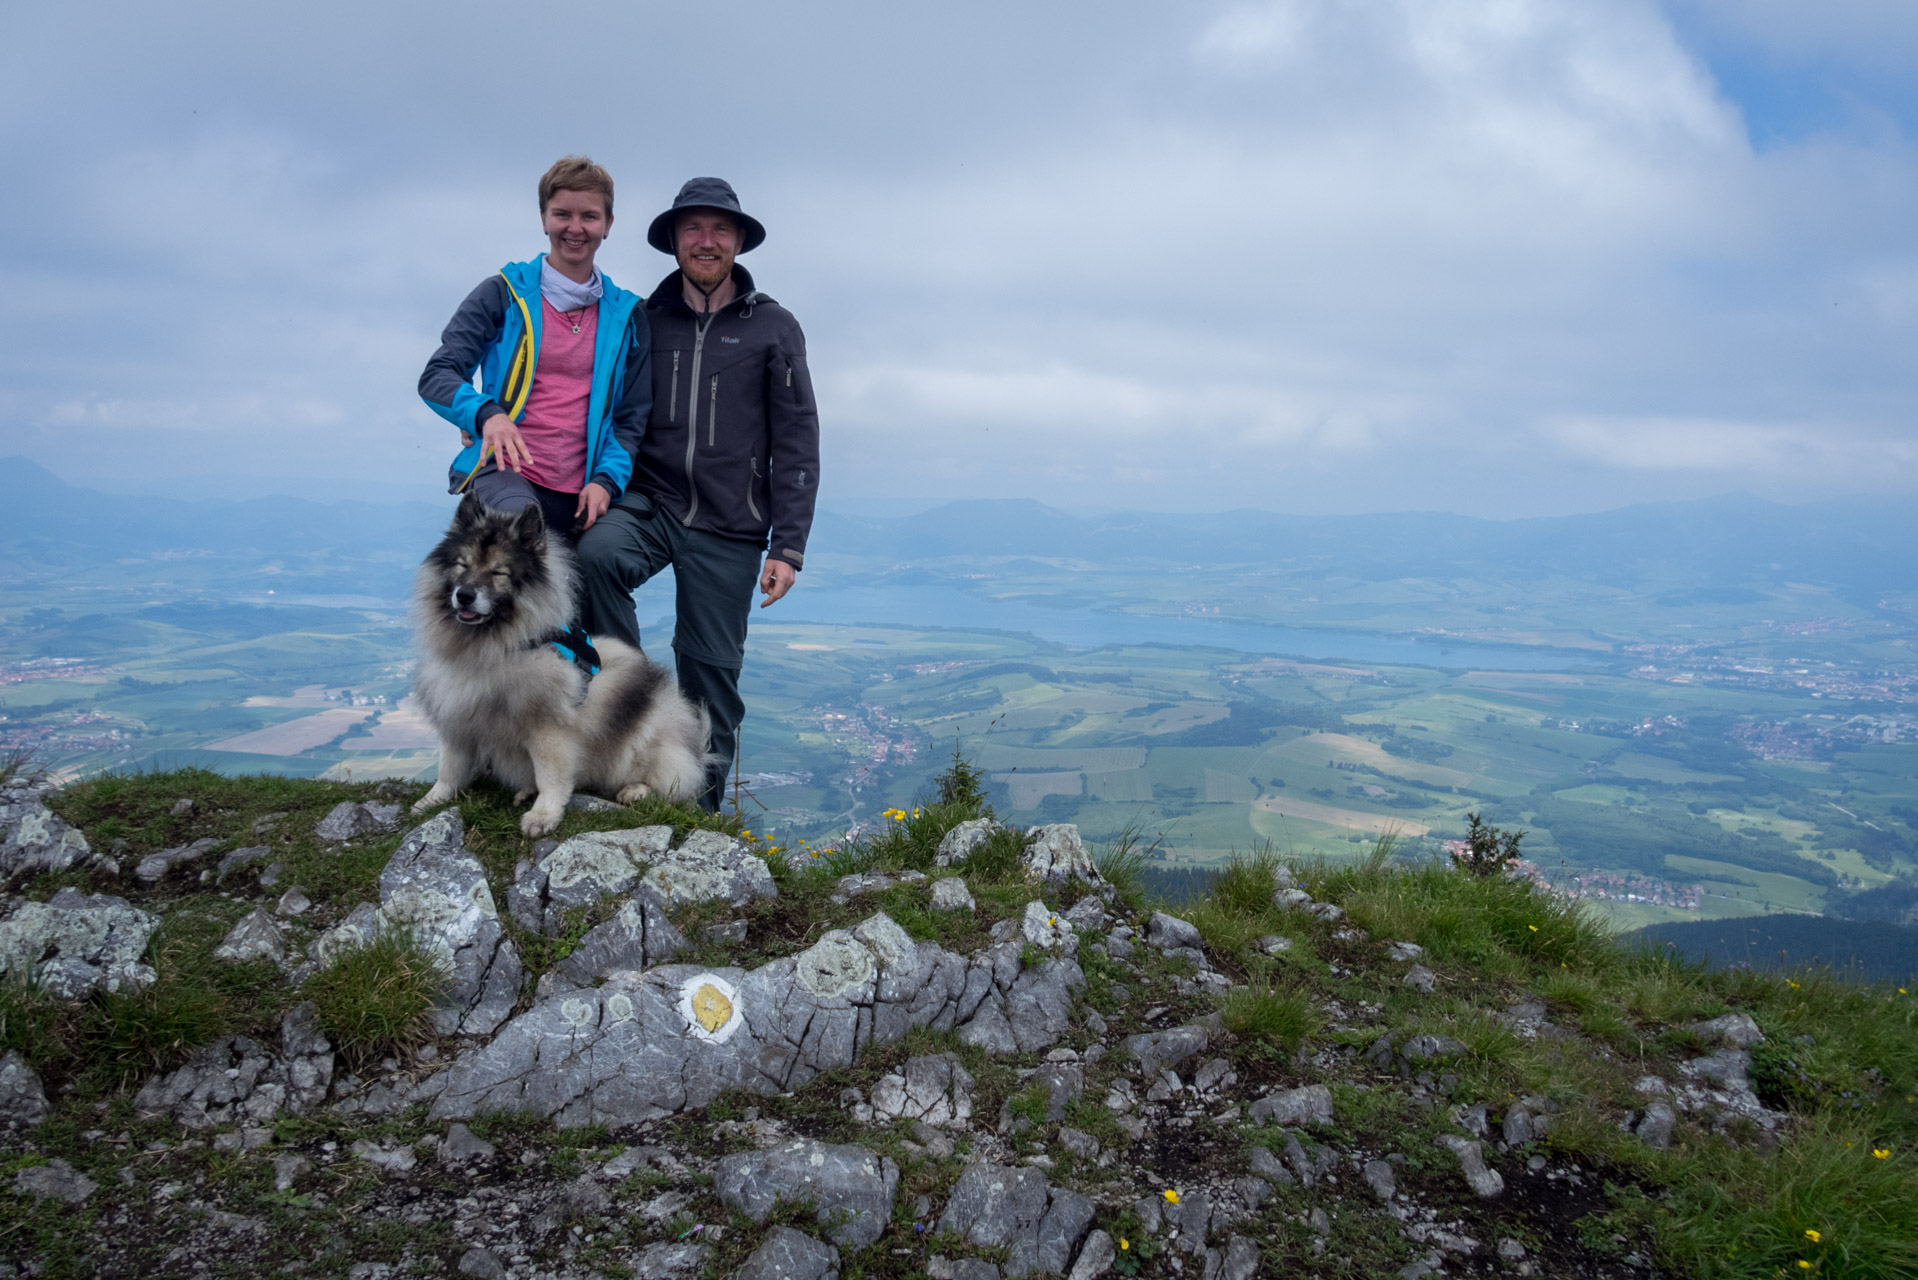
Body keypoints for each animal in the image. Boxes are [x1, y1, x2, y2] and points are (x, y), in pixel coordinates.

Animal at [410, 495, 713, 836]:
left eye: (498, 572)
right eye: (462, 564)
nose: (464, 596)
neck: (497, 648)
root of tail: (696, 746)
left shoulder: (548, 730)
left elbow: (551, 776)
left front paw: (544, 815)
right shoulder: (458, 716)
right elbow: (449, 767)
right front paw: (433, 800)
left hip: (646, 739)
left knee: (672, 787)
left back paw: (635, 790)